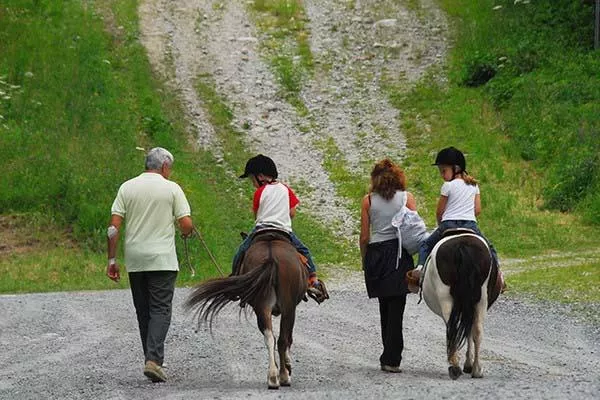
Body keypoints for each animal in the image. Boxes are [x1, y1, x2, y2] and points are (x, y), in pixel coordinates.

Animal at [185, 230, 308, 390]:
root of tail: (271, 257)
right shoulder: (291, 308)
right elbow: (289, 339)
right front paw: (288, 366)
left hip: (262, 307)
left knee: (270, 337)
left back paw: (272, 377)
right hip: (288, 308)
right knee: (282, 340)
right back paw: (283, 376)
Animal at [422, 230, 502, 380]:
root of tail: (462, 246)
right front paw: (468, 364)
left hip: (447, 299)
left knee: (453, 328)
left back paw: (455, 366)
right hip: (481, 301)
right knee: (476, 331)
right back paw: (476, 369)